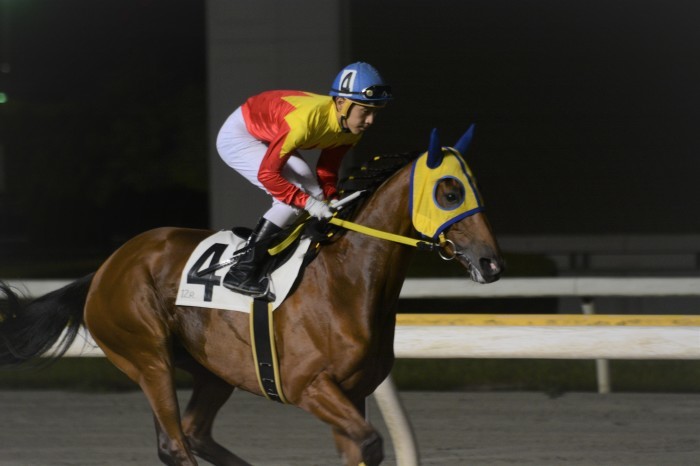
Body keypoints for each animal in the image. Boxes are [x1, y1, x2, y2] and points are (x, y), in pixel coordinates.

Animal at [0, 127, 504, 466]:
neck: (345, 281)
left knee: (194, 434)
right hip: (147, 358)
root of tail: (105, 268)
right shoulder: (308, 385)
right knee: (174, 444)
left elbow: (359, 446)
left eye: (474, 186)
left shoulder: (354, 391)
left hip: (212, 369)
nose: (492, 263)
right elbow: (369, 442)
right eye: (449, 191)